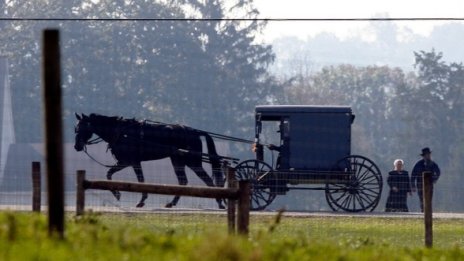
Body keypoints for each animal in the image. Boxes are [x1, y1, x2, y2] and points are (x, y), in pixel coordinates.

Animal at [74, 112, 225, 208]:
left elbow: (140, 180)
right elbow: (109, 174)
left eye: (83, 127)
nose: (77, 146)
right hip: (177, 160)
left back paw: (220, 202)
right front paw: (117, 194)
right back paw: (172, 203)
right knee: (183, 181)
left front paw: (138, 200)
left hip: (192, 161)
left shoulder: (131, 161)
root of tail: (194, 131)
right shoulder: (125, 161)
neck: (121, 132)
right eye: (76, 128)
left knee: (207, 180)